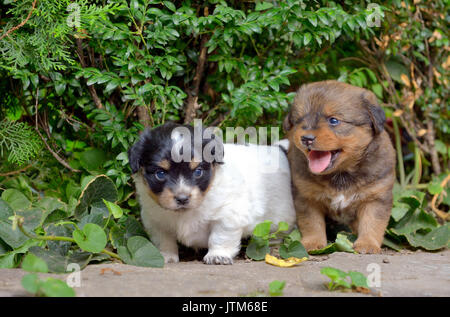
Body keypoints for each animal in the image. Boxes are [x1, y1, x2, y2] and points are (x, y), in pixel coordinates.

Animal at [128, 121, 296, 264]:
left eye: (198, 171)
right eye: (160, 174)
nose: (182, 198)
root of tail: (278, 149)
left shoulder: (229, 214)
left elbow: (220, 236)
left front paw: (218, 256)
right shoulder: (155, 221)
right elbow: (164, 240)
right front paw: (165, 256)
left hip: (280, 217)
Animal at [284, 80, 396, 253]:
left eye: (333, 121)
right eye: (300, 120)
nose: (306, 138)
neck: (341, 174)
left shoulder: (376, 197)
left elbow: (372, 222)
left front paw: (367, 244)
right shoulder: (306, 197)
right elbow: (311, 223)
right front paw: (312, 242)